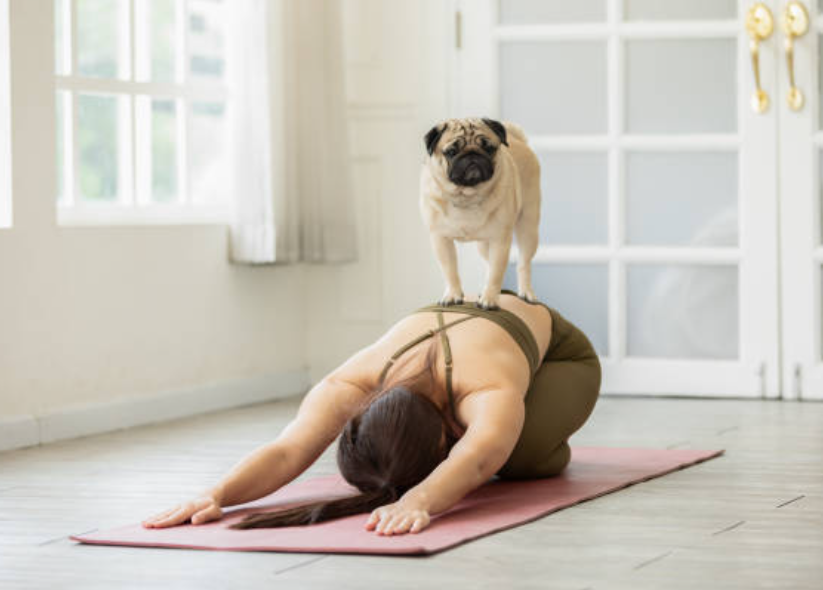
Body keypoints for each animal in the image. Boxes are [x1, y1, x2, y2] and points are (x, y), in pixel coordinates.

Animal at [418, 121, 540, 314]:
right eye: (451, 151)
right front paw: (453, 294)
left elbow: (497, 273)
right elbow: (450, 270)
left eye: (489, 148)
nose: (472, 155)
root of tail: (518, 140)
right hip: (484, 245)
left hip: (528, 228)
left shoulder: (500, 241)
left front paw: (490, 299)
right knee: (489, 263)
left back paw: (526, 292)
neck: (467, 196)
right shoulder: (440, 239)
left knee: (524, 263)